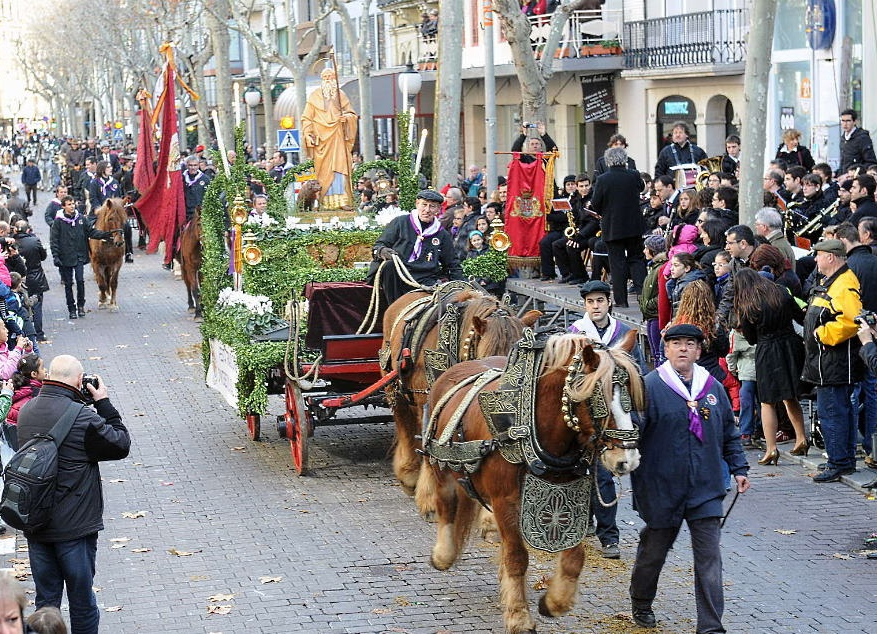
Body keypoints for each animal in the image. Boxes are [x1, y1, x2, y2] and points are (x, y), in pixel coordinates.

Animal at [384, 282, 540, 512]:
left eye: (519, 356)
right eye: (490, 353)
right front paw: (429, 498)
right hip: (395, 390)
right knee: (404, 424)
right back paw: (409, 475)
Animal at [424, 330, 644, 632]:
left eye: (631, 396)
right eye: (599, 398)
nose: (627, 459)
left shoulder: (571, 500)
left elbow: (575, 558)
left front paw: (555, 602)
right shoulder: (505, 501)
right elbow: (517, 557)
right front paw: (519, 615)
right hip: (440, 465)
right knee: (446, 503)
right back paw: (444, 554)